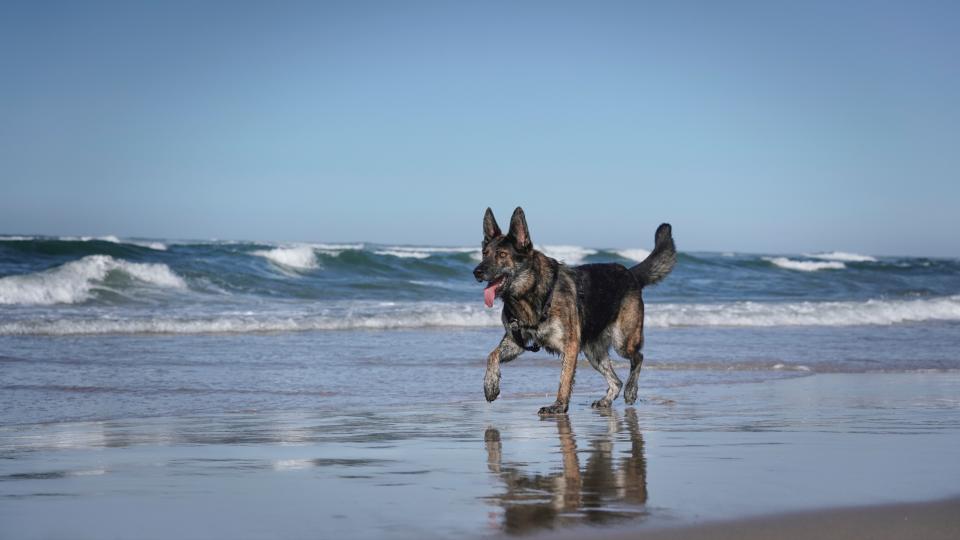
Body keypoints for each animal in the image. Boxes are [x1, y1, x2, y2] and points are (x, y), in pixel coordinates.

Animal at [472, 207, 676, 414]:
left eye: (502, 254)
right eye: (484, 253)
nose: (476, 272)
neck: (531, 292)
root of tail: (630, 273)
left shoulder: (570, 346)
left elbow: (565, 378)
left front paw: (559, 405)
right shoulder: (516, 342)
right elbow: (492, 355)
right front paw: (490, 385)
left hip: (622, 341)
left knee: (638, 358)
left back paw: (631, 390)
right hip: (594, 353)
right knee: (616, 381)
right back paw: (606, 400)